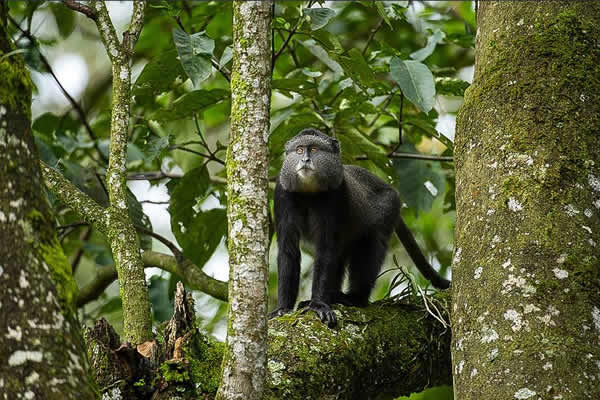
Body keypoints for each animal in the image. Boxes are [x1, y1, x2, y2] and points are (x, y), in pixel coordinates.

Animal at [268, 129, 450, 328]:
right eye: (299, 150)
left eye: (314, 149)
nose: (305, 160)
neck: (309, 192)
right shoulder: (282, 193)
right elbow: (289, 250)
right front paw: (282, 309)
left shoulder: (336, 194)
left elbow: (326, 250)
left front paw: (318, 304)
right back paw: (333, 296)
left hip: (388, 209)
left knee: (369, 252)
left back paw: (355, 299)